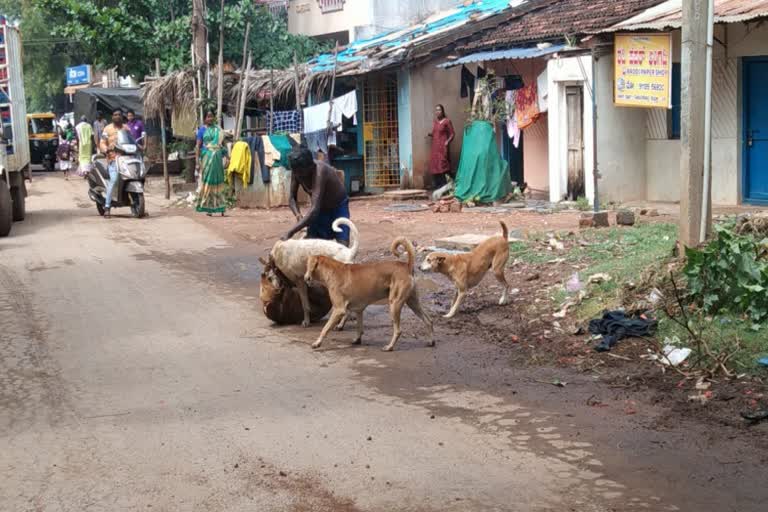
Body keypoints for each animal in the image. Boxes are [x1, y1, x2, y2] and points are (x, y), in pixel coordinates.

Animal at [304, 237, 432, 352]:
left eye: (307, 266)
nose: (305, 278)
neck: (332, 271)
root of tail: (407, 266)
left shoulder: (339, 310)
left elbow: (325, 329)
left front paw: (317, 343)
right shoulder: (358, 309)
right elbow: (359, 328)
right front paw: (357, 340)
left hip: (394, 304)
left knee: (398, 330)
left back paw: (389, 347)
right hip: (412, 303)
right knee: (428, 320)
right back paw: (431, 342)